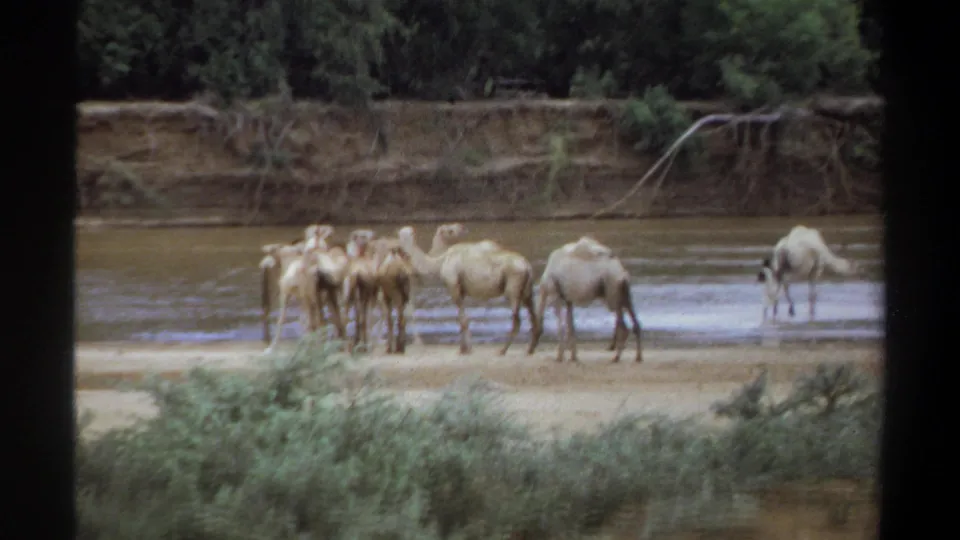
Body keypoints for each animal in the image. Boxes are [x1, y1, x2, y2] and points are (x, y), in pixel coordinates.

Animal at [396, 225, 541, 355]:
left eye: (407, 234)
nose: (398, 249)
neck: (439, 262)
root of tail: (527, 266)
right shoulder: (462, 290)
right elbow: (464, 319)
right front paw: (465, 348)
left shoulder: (453, 285)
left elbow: (462, 319)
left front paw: (464, 350)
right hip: (527, 291)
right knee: (534, 317)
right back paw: (530, 349)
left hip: (513, 287)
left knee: (517, 320)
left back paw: (502, 350)